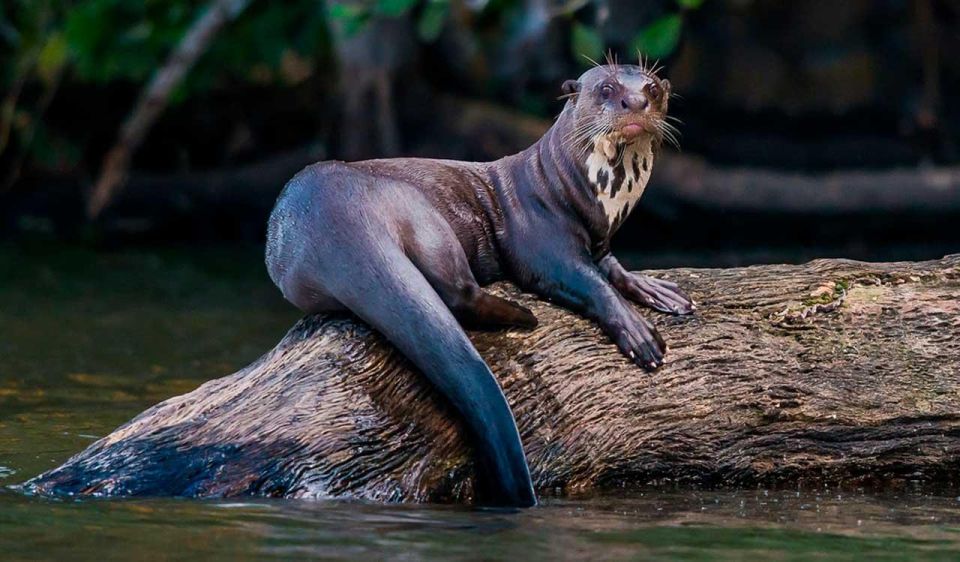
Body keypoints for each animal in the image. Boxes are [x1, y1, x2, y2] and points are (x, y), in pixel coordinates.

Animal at [266, 61, 692, 508]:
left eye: (651, 88)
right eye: (607, 89)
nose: (636, 102)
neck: (575, 191)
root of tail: (333, 218)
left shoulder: (601, 241)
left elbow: (613, 268)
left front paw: (658, 290)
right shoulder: (541, 241)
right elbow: (587, 282)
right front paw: (637, 332)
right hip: (419, 212)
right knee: (457, 291)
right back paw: (523, 316)